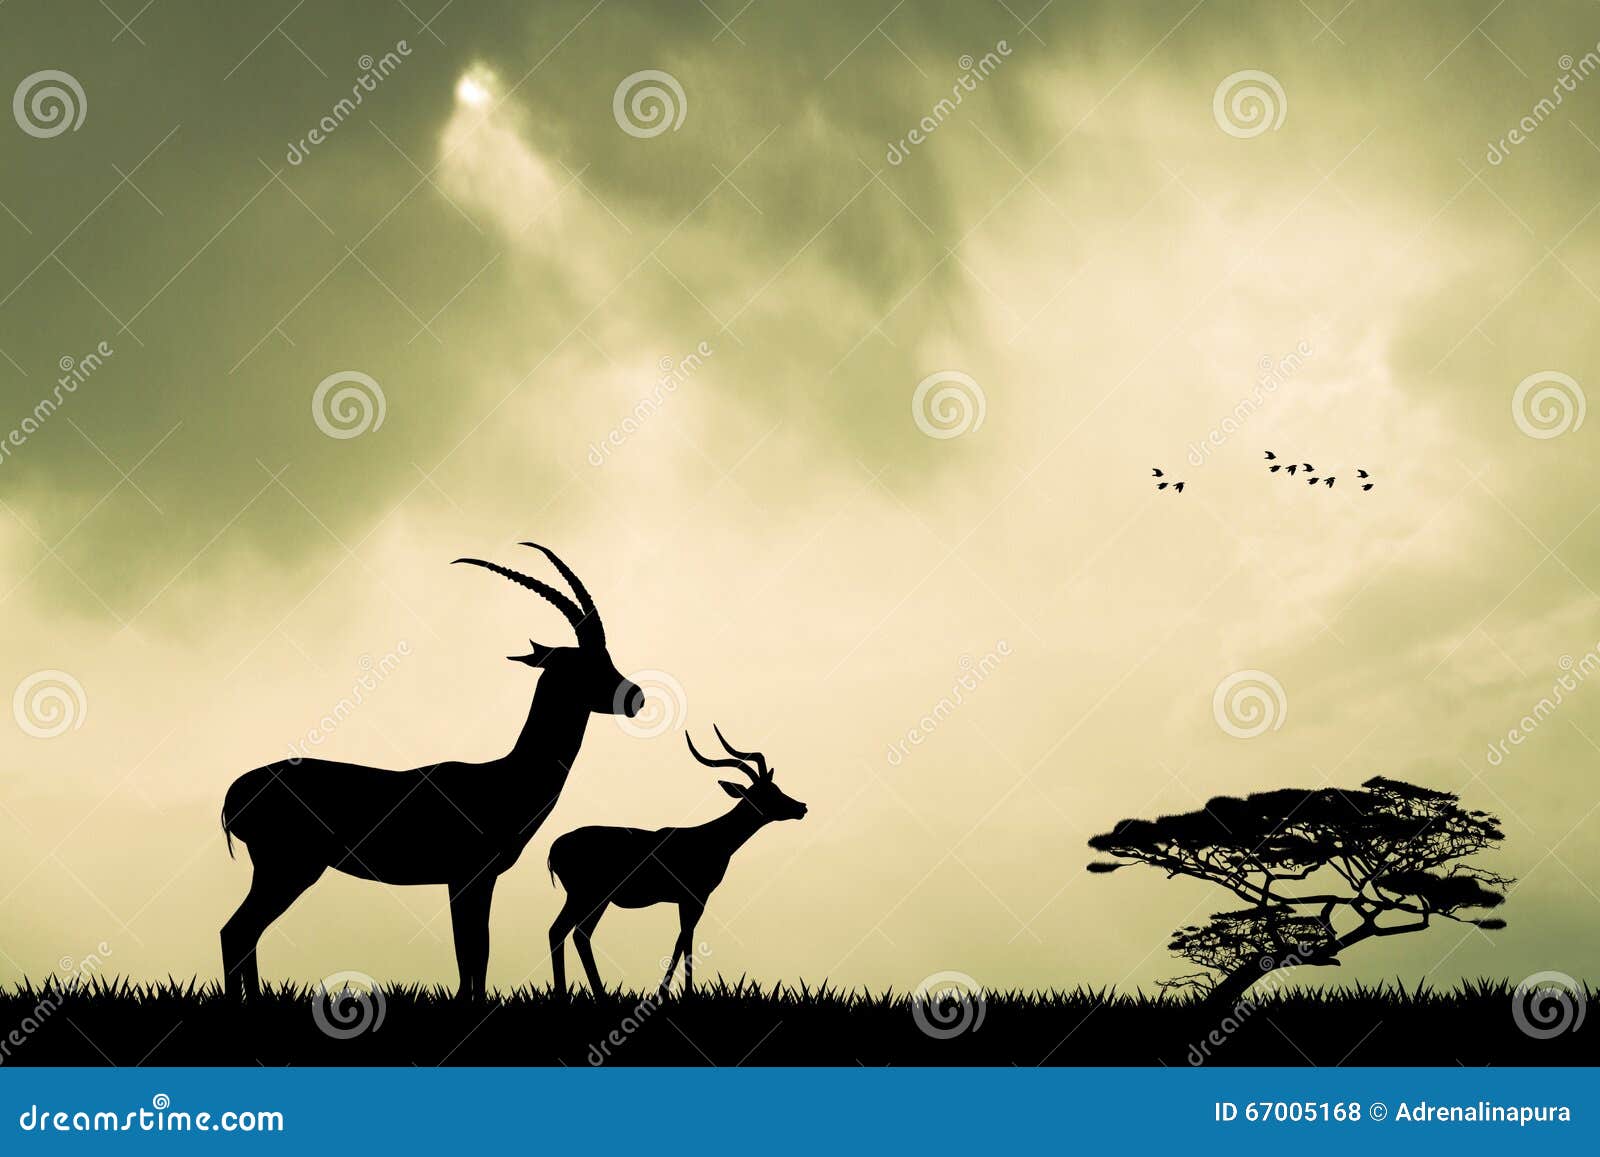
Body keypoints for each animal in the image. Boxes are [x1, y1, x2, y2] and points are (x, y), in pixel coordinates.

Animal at [220, 543, 643, 1001]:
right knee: (237, 931)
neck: (504, 779)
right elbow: (473, 951)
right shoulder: (468, 877)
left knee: (242, 933)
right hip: (288, 869)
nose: (635, 696)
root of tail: (233, 794)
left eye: (608, 658)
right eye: (584, 665)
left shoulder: (471, 881)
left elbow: (473, 952)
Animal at [547, 726, 807, 997]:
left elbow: (684, 939)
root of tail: (554, 849)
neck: (713, 839)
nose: (801, 807)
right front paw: (675, 993)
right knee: (565, 931)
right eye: (768, 793)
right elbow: (685, 939)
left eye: (776, 787)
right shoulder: (695, 896)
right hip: (587, 895)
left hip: (594, 899)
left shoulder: (686, 899)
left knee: (573, 933)